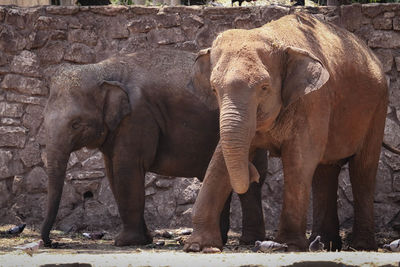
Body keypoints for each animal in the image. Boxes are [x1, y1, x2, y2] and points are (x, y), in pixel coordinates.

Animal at [40, 48, 268, 249]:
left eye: (75, 124)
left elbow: (127, 171)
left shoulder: (137, 117)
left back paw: (247, 241)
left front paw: (125, 242)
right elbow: (113, 174)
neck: (102, 70)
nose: (52, 243)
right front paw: (144, 239)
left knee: (249, 183)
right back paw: (220, 239)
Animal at [184, 13, 388, 253]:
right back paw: (325, 243)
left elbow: (299, 159)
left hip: (378, 107)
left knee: (363, 169)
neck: (272, 35)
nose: (254, 173)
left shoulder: (314, 100)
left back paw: (361, 246)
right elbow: (219, 161)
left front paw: (289, 245)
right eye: (214, 89)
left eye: (264, 87)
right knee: (325, 170)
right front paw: (199, 247)